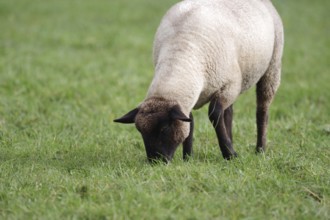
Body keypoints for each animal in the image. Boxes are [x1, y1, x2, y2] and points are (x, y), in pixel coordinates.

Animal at [113, 0, 284, 162]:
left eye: (165, 129)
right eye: (140, 131)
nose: (155, 161)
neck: (180, 53)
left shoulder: (229, 85)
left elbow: (214, 114)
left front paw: (230, 154)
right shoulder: (190, 95)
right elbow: (191, 121)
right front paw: (188, 158)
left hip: (272, 67)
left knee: (262, 110)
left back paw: (260, 150)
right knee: (228, 113)